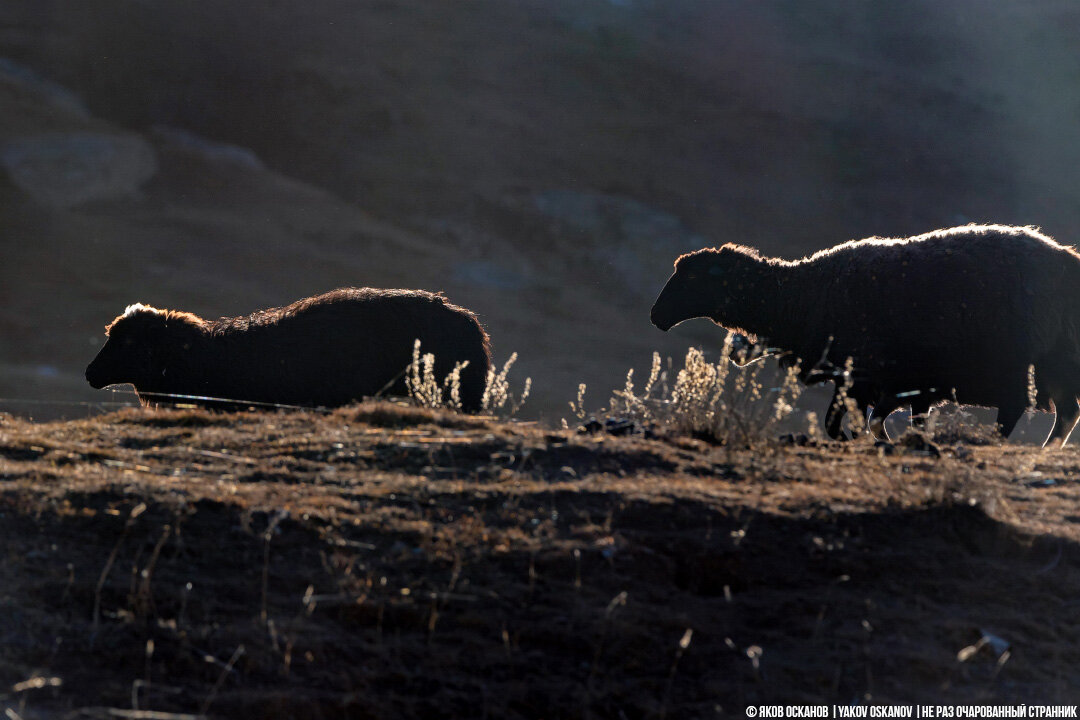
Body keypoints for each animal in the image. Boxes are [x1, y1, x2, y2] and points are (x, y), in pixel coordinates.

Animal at [648, 222, 1080, 442]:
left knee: (1020, 412)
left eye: (691, 278)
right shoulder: (892, 387)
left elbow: (848, 425)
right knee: (1067, 413)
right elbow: (871, 423)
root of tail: (1068, 260)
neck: (803, 294)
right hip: (1054, 370)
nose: (655, 316)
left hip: (1020, 369)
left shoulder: (868, 382)